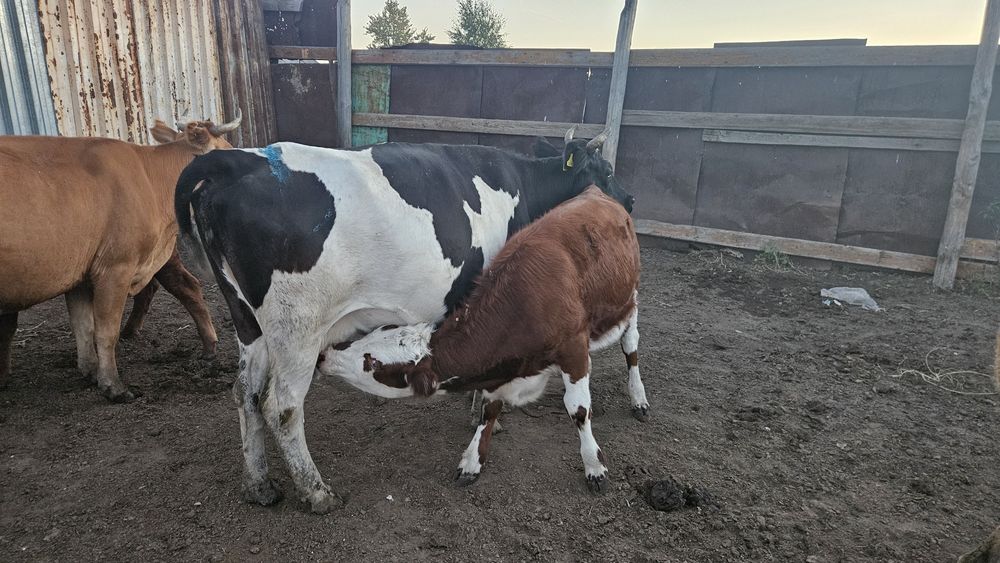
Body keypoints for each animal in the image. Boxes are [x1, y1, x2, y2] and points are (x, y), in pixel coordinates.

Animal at [0, 112, 241, 402]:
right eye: (226, 153)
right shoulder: (115, 267)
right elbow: (104, 330)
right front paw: (112, 385)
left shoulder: (81, 273)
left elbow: (84, 326)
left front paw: (91, 372)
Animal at [317, 186, 647, 492]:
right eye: (370, 335)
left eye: (371, 363)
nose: (325, 355)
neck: (523, 303)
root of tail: (597, 192)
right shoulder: (499, 368)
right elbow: (489, 409)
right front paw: (473, 460)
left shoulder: (574, 349)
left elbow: (578, 410)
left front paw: (594, 466)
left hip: (630, 298)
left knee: (631, 347)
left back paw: (638, 398)